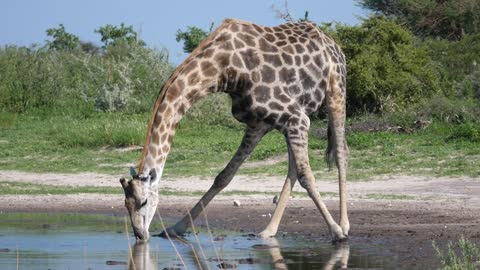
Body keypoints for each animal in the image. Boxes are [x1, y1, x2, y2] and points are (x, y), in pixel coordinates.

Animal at [121, 18, 348, 243]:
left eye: (143, 201)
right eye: (125, 204)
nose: (140, 235)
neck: (222, 70)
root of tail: (332, 42)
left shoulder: (296, 117)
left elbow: (306, 176)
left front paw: (336, 231)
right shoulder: (260, 123)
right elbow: (224, 176)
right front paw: (175, 228)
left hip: (336, 89)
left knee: (340, 153)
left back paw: (344, 225)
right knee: (293, 167)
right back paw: (268, 230)